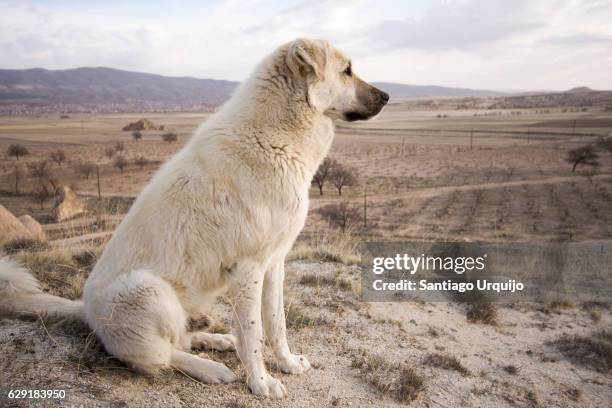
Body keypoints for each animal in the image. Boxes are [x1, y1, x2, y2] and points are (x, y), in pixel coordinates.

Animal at [1, 39, 388, 398]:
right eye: (347, 70)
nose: (386, 96)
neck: (276, 136)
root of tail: (84, 310)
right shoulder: (247, 268)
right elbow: (254, 335)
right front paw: (261, 383)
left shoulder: (274, 263)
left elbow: (276, 325)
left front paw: (288, 364)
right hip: (148, 290)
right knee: (160, 356)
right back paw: (209, 368)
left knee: (180, 340)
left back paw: (215, 342)